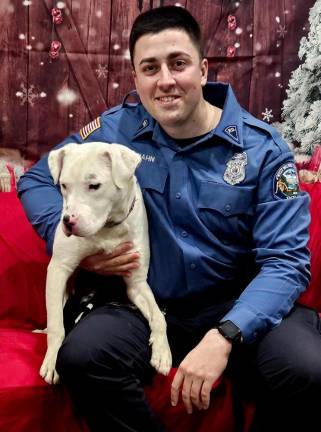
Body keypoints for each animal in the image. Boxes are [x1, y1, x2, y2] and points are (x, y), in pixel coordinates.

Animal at [40, 142, 172, 384]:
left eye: (94, 185)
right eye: (64, 185)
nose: (67, 221)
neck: (108, 228)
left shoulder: (137, 283)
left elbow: (158, 316)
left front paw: (162, 351)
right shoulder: (59, 269)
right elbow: (56, 325)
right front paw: (52, 361)